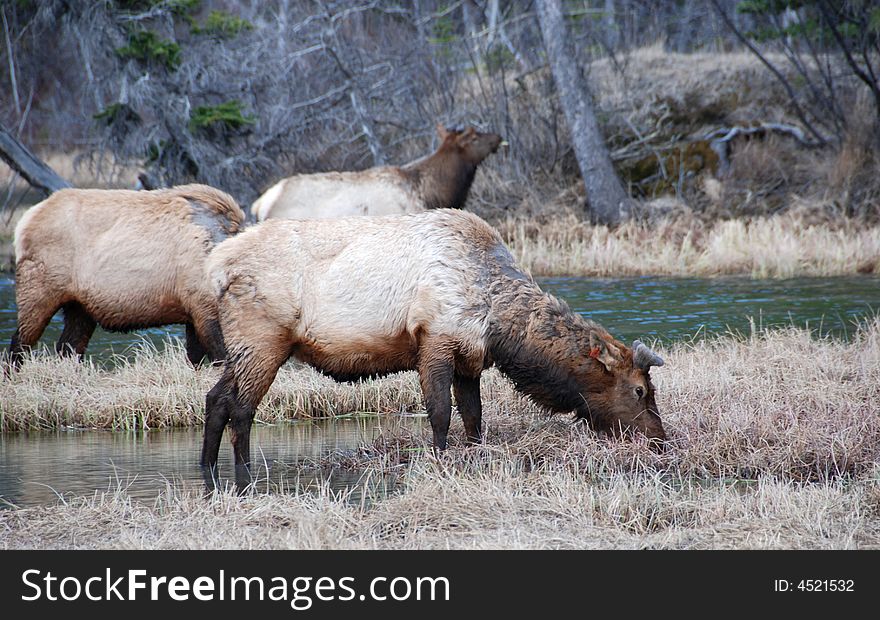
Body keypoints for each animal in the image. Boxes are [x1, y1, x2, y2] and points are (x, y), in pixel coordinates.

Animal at [8, 184, 246, 368]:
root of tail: (25, 222)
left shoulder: (193, 312)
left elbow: (196, 358)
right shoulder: (203, 308)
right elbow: (222, 357)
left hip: (80, 307)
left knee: (68, 348)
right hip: (38, 290)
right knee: (19, 342)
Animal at [201, 208, 668, 490]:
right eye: (640, 390)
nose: (661, 442)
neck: (497, 318)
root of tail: (216, 267)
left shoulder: (470, 358)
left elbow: (474, 417)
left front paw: (476, 453)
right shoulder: (434, 340)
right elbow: (440, 413)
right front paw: (440, 459)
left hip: (244, 348)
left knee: (215, 398)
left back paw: (207, 468)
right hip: (263, 340)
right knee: (242, 409)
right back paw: (244, 474)